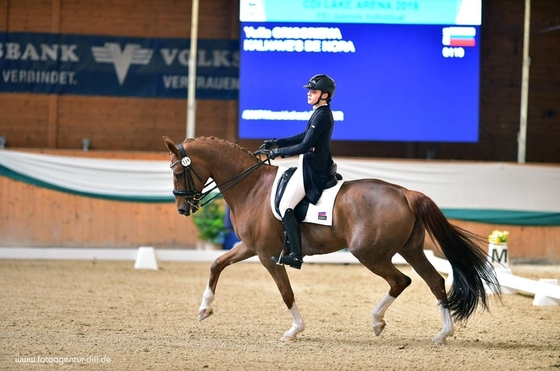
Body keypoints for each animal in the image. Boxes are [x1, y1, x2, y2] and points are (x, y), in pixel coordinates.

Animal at [164, 137, 500, 346]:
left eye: (178, 171)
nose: (182, 209)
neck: (252, 188)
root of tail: (406, 192)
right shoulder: (249, 247)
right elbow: (216, 263)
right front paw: (204, 309)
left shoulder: (267, 255)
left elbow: (285, 292)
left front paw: (294, 330)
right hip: (411, 250)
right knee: (434, 281)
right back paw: (442, 334)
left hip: (370, 253)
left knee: (401, 281)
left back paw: (377, 322)